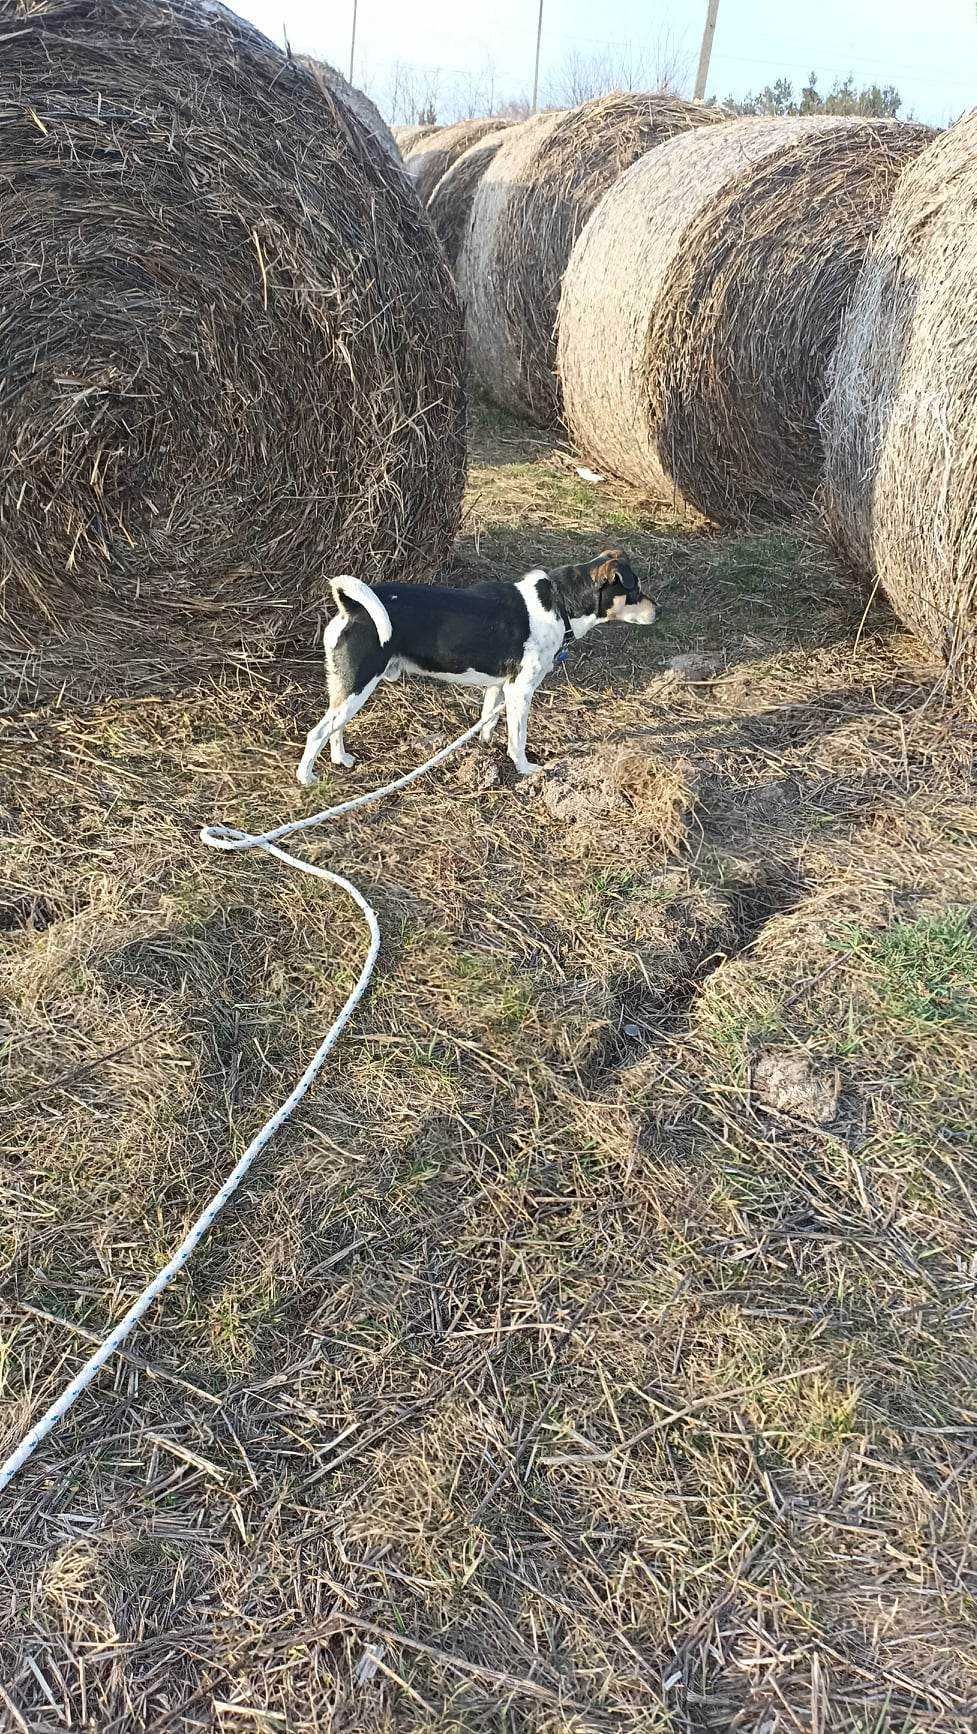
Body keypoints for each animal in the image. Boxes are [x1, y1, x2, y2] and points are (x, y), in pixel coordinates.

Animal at [293, 547, 655, 787]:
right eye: (635, 590)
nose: (659, 611)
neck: (559, 604)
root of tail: (352, 608)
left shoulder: (500, 685)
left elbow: (488, 721)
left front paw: (485, 748)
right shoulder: (521, 690)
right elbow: (518, 737)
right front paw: (524, 768)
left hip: (348, 687)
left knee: (335, 728)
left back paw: (341, 759)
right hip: (359, 684)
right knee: (317, 732)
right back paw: (306, 776)